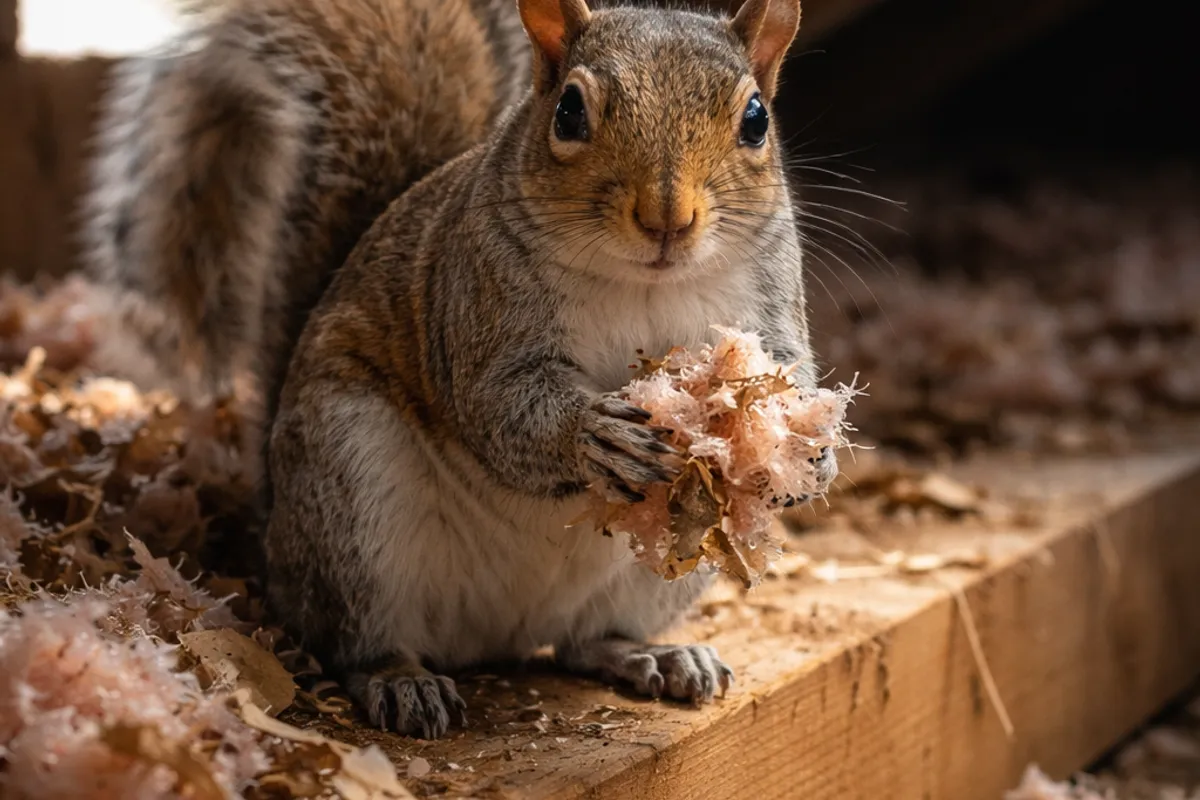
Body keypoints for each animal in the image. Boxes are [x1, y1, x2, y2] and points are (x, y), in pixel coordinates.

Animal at [265, 0, 837, 739]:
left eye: (756, 120)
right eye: (568, 112)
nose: (667, 218)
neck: (644, 282)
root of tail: (500, 632)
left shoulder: (768, 299)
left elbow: (791, 365)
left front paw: (809, 455)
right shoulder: (479, 299)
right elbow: (500, 404)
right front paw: (595, 435)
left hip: (661, 571)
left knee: (582, 642)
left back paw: (656, 656)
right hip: (349, 492)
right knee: (350, 636)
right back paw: (399, 680)